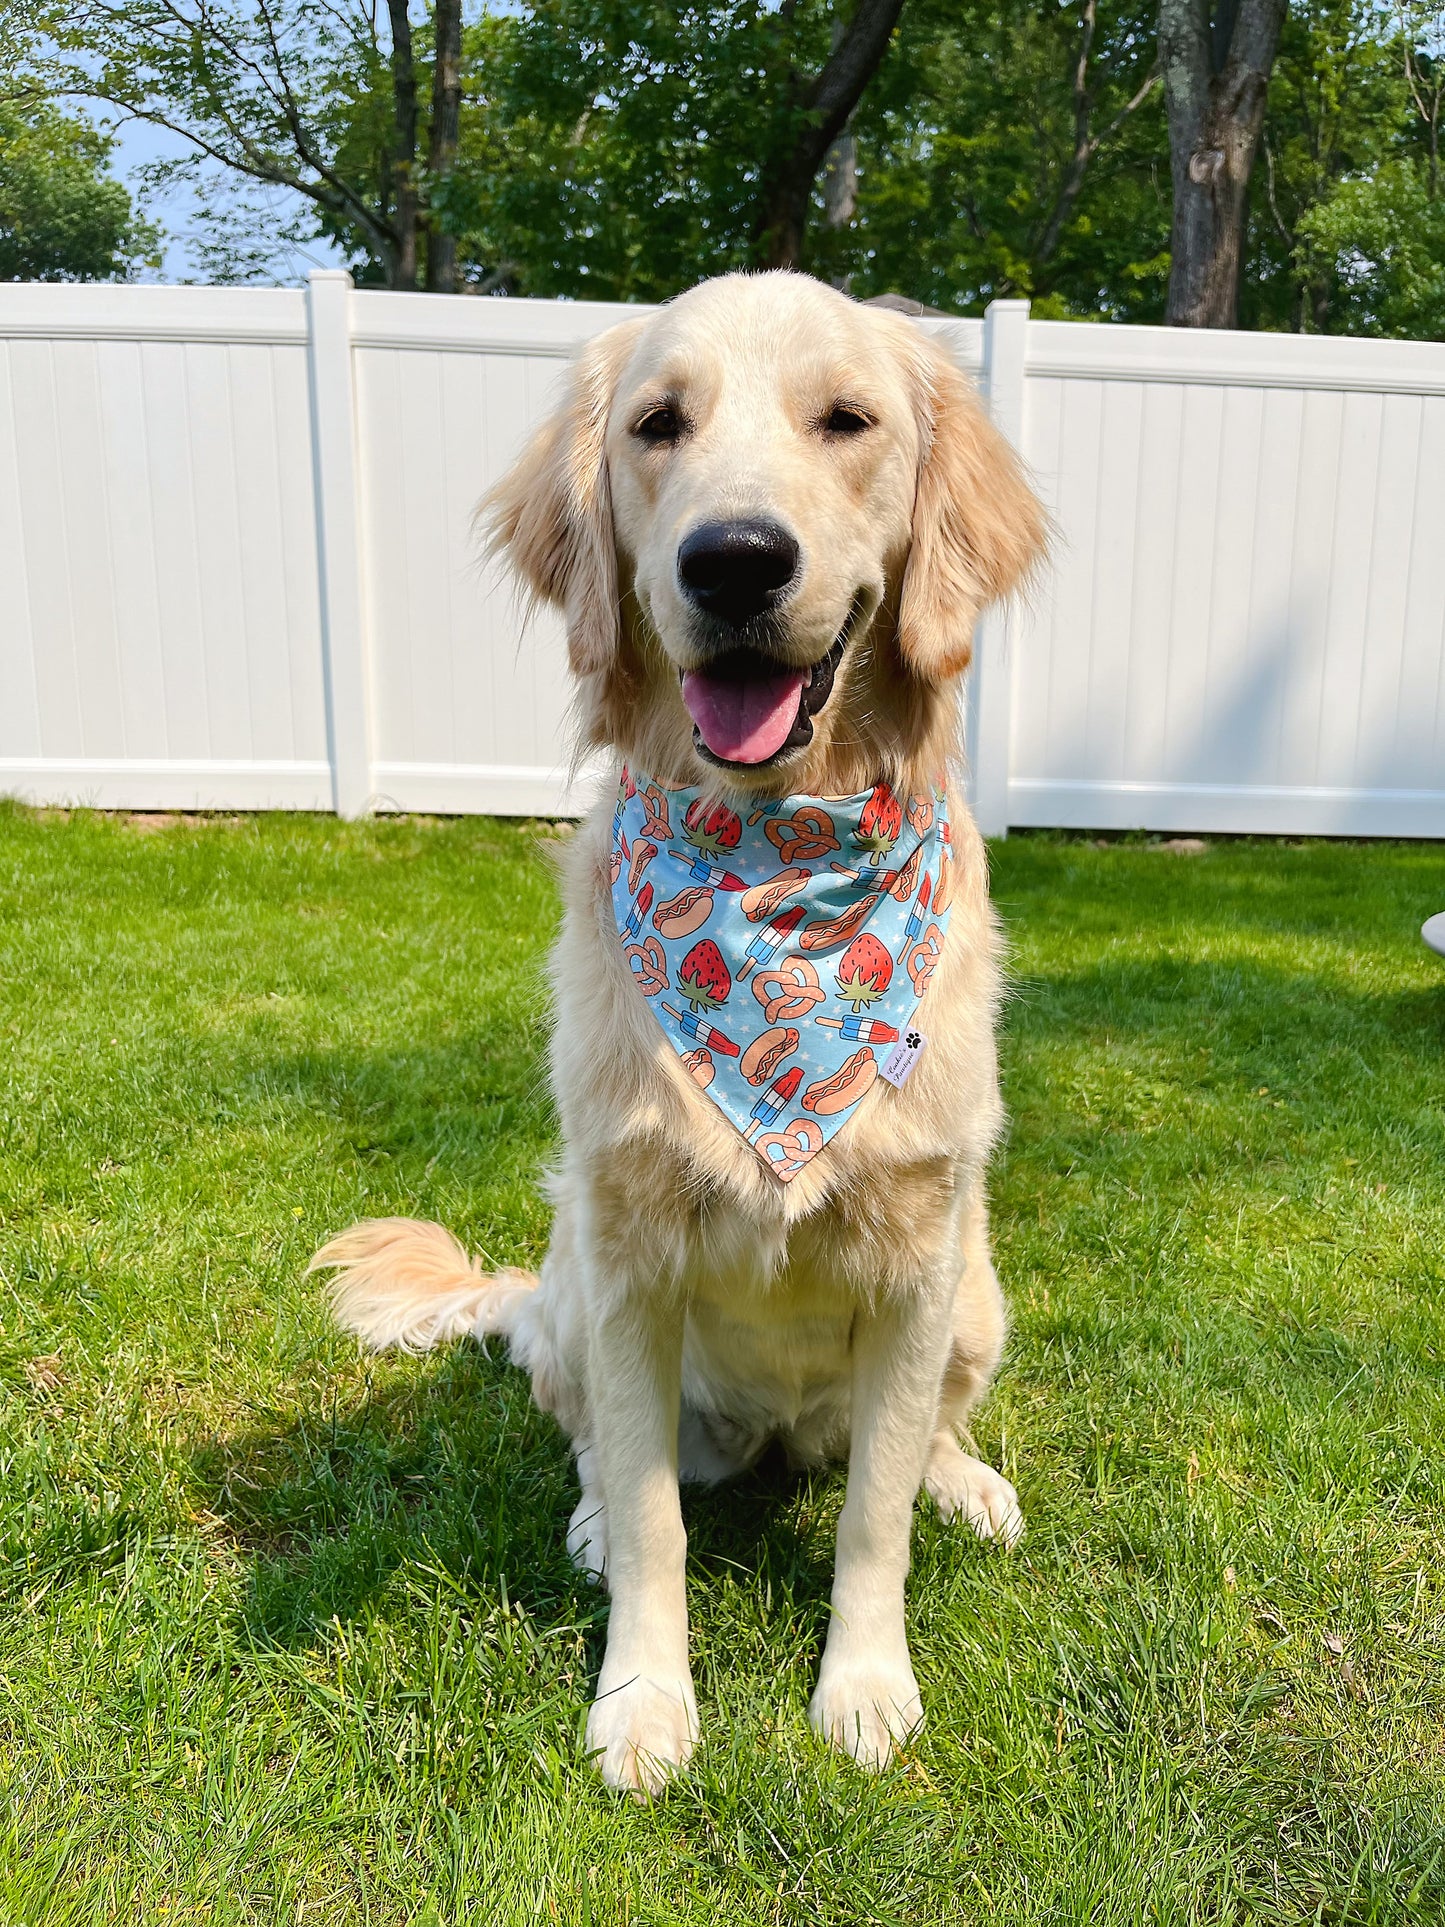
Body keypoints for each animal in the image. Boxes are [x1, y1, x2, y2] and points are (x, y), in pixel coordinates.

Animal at [314, 279, 1040, 1795]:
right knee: (595, 1447)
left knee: (922, 1437)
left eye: (847, 419)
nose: (735, 562)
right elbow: (655, 1513)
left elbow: (873, 1516)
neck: (774, 878)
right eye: (657, 424)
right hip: (569, 1286)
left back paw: (967, 1479)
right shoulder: (631, 1262)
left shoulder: (920, 1261)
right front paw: (644, 1700)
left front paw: (864, 1684)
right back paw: (590, 1521)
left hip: (981, 1295)